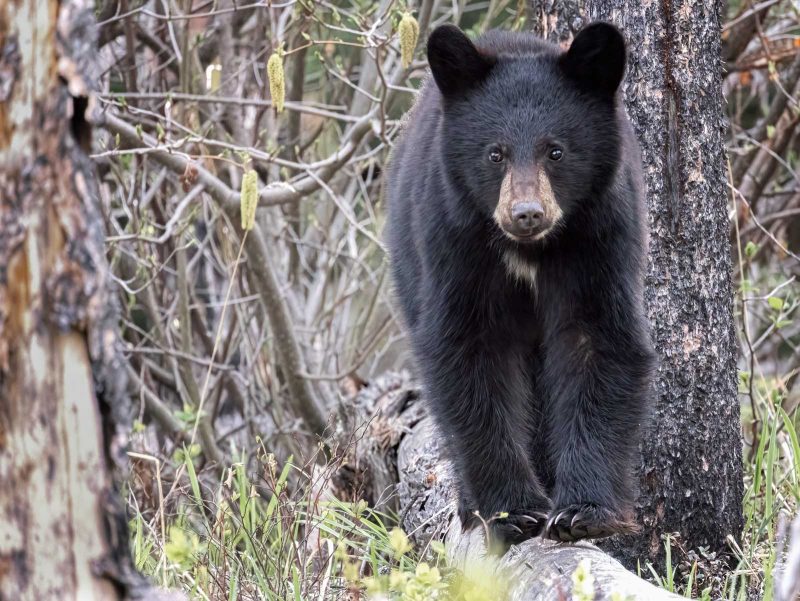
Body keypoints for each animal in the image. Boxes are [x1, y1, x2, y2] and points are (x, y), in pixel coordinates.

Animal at [388, 22, 656, 548]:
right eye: (495, 153)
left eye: (556, 150)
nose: (526, 214)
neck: (530, 250)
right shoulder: (455, 240)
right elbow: (468, 353)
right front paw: (514, 512)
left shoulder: (601, 236)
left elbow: (598, 341)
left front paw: (583, 511)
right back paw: (470, 503)